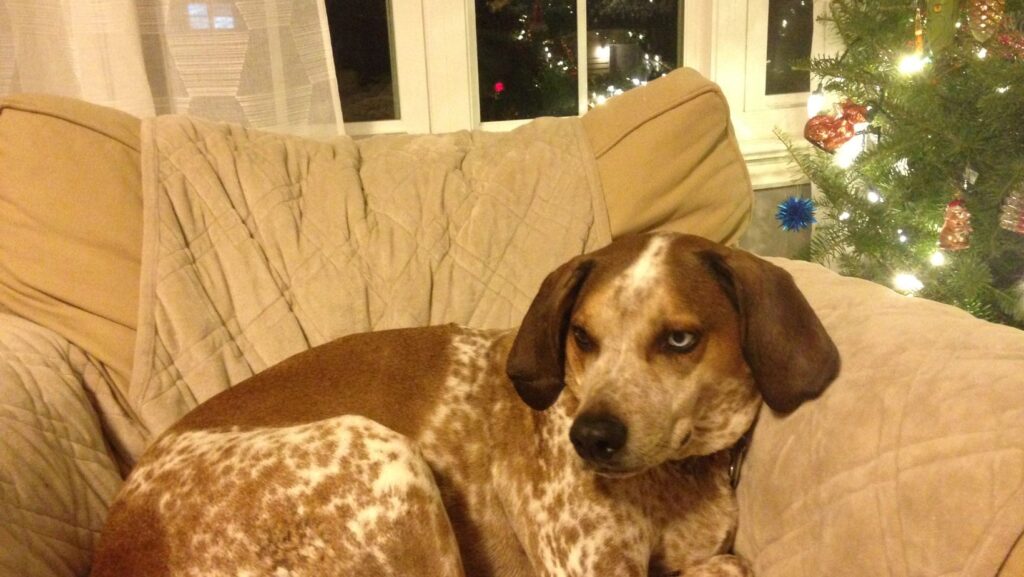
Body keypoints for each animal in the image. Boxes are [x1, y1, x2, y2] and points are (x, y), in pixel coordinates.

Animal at [92, 233, 839, 577]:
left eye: (680, 338)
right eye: (582, 336)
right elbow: (725, 566)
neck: (676, 483)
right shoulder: (588, 569)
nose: (589, 438)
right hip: (384, 456)